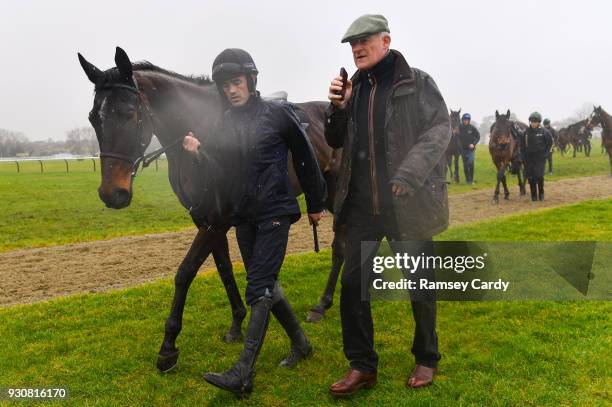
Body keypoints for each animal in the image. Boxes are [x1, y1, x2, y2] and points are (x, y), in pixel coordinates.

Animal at [77, 47, 350, 372]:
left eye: (129, 113)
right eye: (93, 117)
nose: (112, 193)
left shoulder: (215, 222)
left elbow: (185, 272)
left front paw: (168, 346)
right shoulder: (205, 219)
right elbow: (224, 268)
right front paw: (236, 322)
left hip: (336, 194)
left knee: (341, 247)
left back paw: (322, 304)